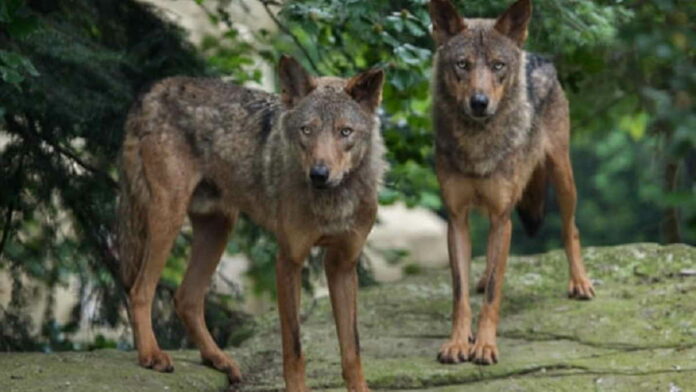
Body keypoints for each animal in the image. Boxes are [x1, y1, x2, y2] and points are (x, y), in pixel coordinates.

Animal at [116, 56, 384, 392]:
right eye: (307, 130)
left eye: (345, 132)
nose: (319, 174)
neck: (334, 201)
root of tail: (153, 89)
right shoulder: (289, 261)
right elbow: (294, 346)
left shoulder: (343, 265)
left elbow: (352, 349)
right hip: (168, 218)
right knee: (140, 290)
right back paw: (151, 355)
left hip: (218, 229)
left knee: (185, 298)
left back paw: (218, 359)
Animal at [426, 0, 596, 366]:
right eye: (463, 64)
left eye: (498, 65)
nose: (479, 102)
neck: (477, 143)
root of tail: (537, 56)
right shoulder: (457, 219)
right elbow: (460, 292)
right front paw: (458, 342)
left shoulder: (501, 216)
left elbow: (493, 293)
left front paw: (485, 345)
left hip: (563, 178)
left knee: (570, 230)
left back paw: (580, 282)